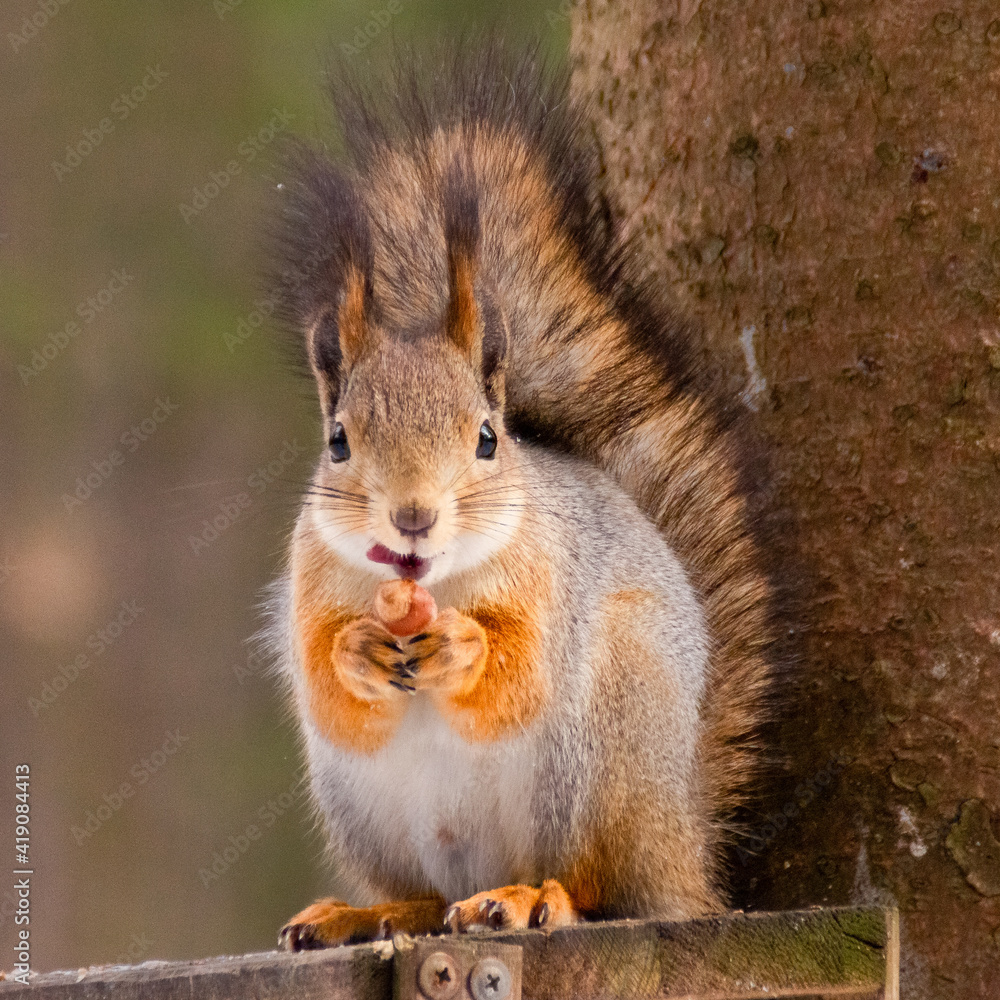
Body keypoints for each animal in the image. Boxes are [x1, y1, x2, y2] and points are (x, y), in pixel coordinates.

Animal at [266, 41, 776, 950]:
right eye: (338, 441)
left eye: (485, 438)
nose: (413, 517)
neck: (428, 584)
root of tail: (686, 849)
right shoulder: (310, 585)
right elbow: (327, 685)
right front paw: (355, 652)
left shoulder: (550, 577)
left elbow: (521, 675)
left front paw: (466, 648)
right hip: (368, 812)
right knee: (426, 897)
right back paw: (361, 914)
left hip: (611, 752)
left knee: (606, 888)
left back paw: (537, 897)